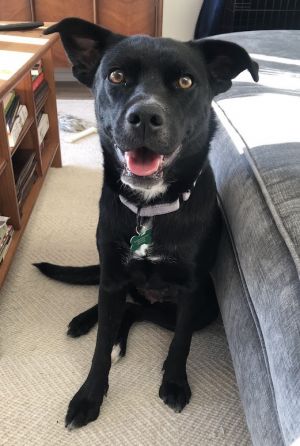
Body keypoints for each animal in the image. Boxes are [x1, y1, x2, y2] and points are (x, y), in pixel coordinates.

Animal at [35, 17, 258, 428]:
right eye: (117, 76)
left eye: (185, 82)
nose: (144, 118)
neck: (148, 210)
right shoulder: (112, 276)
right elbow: (100, 345)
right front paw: (89, 396)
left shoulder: (190, 291)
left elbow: (181, 343)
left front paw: (174, 383)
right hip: (115, 281)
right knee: (120, 307)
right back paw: (85, 321)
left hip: (203, 308)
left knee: (136, 310)